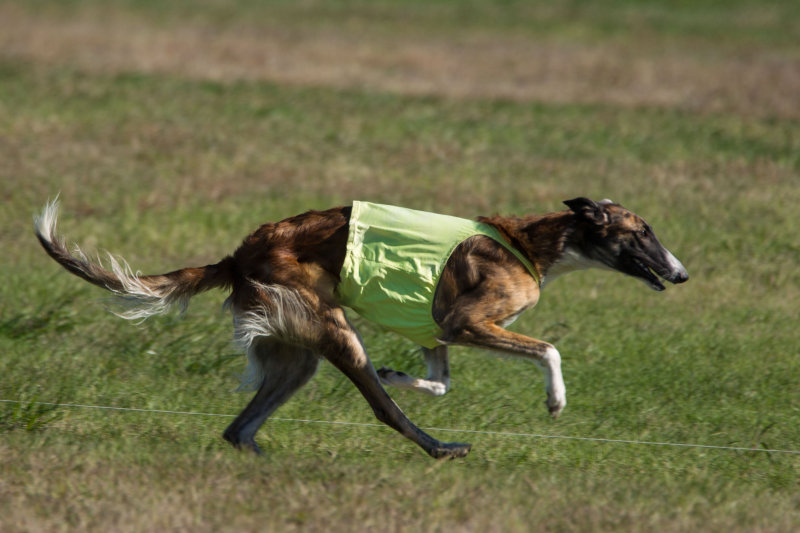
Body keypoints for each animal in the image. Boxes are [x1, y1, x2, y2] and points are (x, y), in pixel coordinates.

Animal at [32, 195, 688, 458]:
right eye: (643, 231)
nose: (682, 274)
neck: (533, 245)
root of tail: (239, 253)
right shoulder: (466, 321)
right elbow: (549, 349)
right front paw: (555, 401)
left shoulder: (438, 333)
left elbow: (438, 380)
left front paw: (402, 374)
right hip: (335, 333)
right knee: (382, 411)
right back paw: (440, 448)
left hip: (296, 355)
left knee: (239, 430)